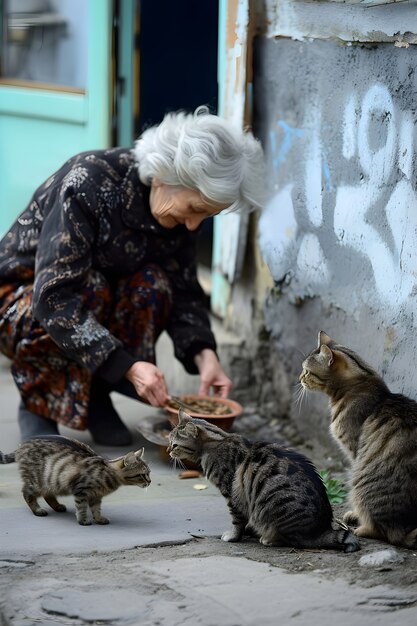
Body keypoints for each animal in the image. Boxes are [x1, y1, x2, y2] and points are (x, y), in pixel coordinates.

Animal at [0, 434, 150, 520]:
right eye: (142, 475)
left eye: (149, 473)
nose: (150, 481)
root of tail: (22, 444)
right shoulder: (81, 490)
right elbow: (81, 507)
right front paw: (83, 521)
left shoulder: (96, 496)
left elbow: (96, 509)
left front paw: (99, 519)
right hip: (37, 481)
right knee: (27, 493)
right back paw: (37, 510)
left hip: (50, 481)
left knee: (47, 494)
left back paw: (57, 506)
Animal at [167, 410, 360, 552]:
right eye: (169, 441)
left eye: (174, 444)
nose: (168, 450)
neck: (215, 442)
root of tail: (321, 529)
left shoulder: (231, 493)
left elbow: (237, 520)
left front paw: (233, 536)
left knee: (294, 540)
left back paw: (268, 539)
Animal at [300, 330, 417, 548]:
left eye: (307, 371)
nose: (299, 378)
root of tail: (404, 529)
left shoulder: (354, 450)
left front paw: (355, 516)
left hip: (361, 482)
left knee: (383, 532)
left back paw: (361, 527)